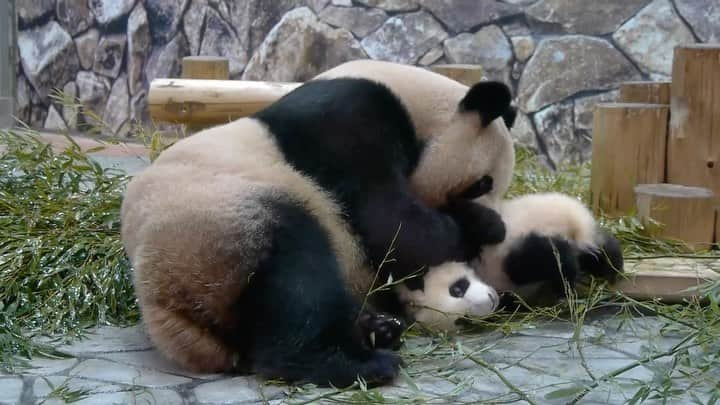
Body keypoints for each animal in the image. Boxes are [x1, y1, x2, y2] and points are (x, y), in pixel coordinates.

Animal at [122, 58, 516, 386]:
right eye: (482, 183)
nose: (496, 223)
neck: (413, 100)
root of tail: (168, 303)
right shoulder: (347, 125)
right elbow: (390, 221)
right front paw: (484, 225)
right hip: (224, 219)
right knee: (298, 277)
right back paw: (358, 362)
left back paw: (377, 329)